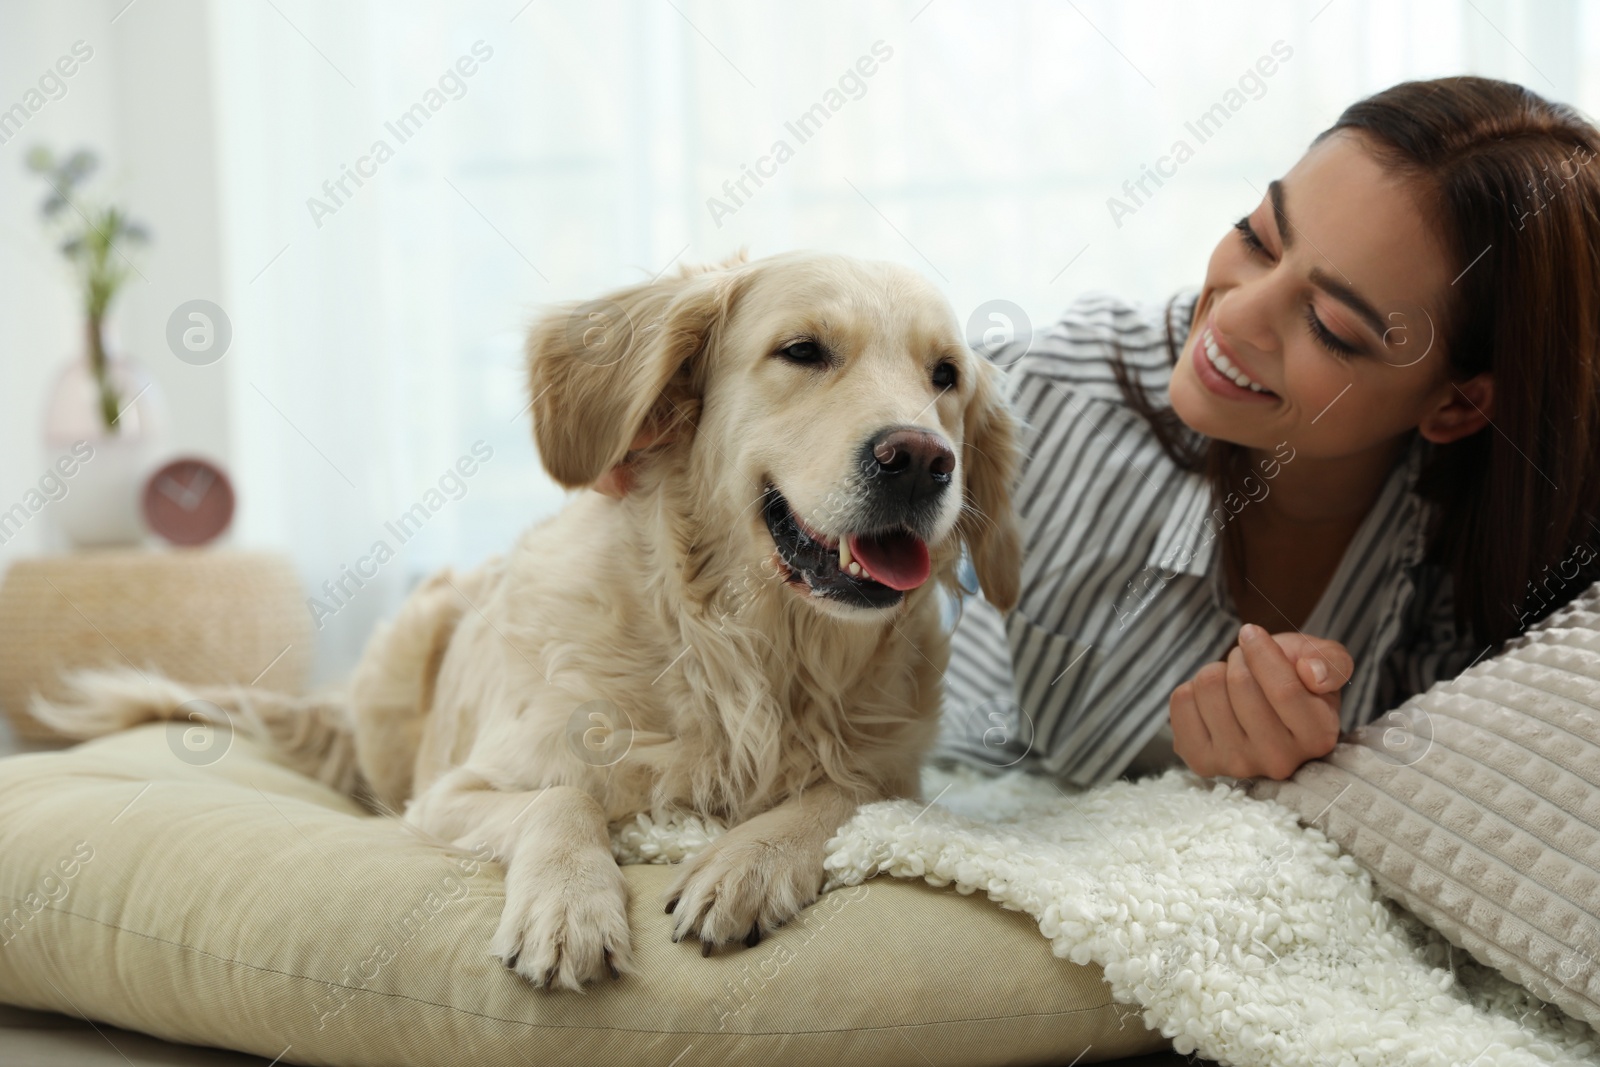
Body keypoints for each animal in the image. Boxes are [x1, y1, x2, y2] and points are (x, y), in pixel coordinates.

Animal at [37, 251, 1024, 991]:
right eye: (804, 350)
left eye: (945, 376)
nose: (921, 458)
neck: (750, 649)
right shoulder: (452, 793)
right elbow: (561, 796)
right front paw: (568, 905)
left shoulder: (898, 770)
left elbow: (840, 790)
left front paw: (746, 862)